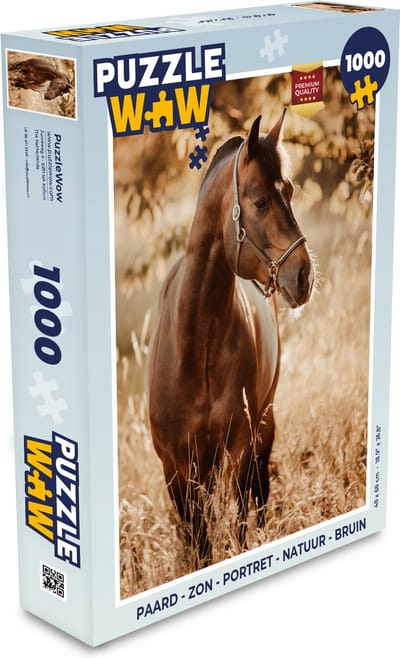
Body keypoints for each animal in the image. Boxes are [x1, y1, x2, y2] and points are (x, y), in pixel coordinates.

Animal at [148, 110, 314, 566]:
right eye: (260, 202)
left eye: (290, 191)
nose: (304, 276)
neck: (195, 344)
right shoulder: (176, 468)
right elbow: (199, 546)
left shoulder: (240, 447)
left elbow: (238, 529)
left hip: (264, 426)